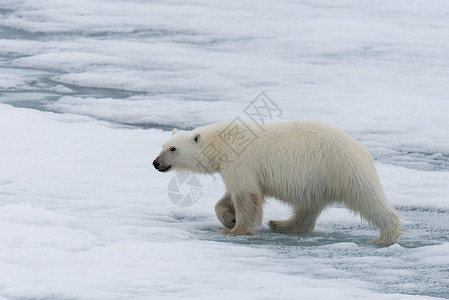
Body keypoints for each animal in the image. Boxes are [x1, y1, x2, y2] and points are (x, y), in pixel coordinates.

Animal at [153, 119, 400, 244]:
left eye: (173, 149)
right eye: (162, 145)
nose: (155, 163)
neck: (223, 141)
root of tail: (361, 147)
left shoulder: (241, 160)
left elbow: (246, 194)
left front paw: (235, 229)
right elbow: (231, 196)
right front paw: (228, 218)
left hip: (341, 168)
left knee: (367, 197)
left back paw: (385, 236)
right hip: (317, 178)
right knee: (308, 206)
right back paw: (283, 225)